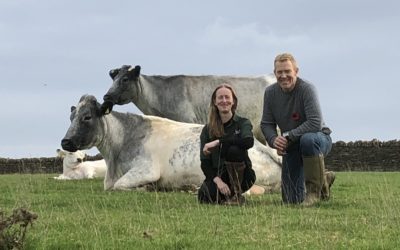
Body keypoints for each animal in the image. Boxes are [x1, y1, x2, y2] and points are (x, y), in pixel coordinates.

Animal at [61, 95, 282, 191]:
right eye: (71, 116)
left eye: (87, 117)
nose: (65, 141)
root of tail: (264, 147)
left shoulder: (147, 170)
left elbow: (120, 185)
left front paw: (147, 188)